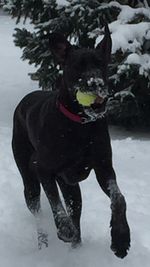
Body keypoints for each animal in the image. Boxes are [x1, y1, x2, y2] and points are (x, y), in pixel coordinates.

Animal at [11, 24, 130, 258]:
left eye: (100, 63)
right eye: (77, 66)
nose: (96, 83)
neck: (80, 124)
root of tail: (24, 100)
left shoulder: (104, 167)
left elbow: (118, 199)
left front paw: (121, 239)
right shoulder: (43, 169)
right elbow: (55, 203)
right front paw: (64, 228)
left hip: (71, 186)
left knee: (76, 212)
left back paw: (77, 250)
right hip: (29, 179)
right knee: (39, 214)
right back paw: (45, 245)